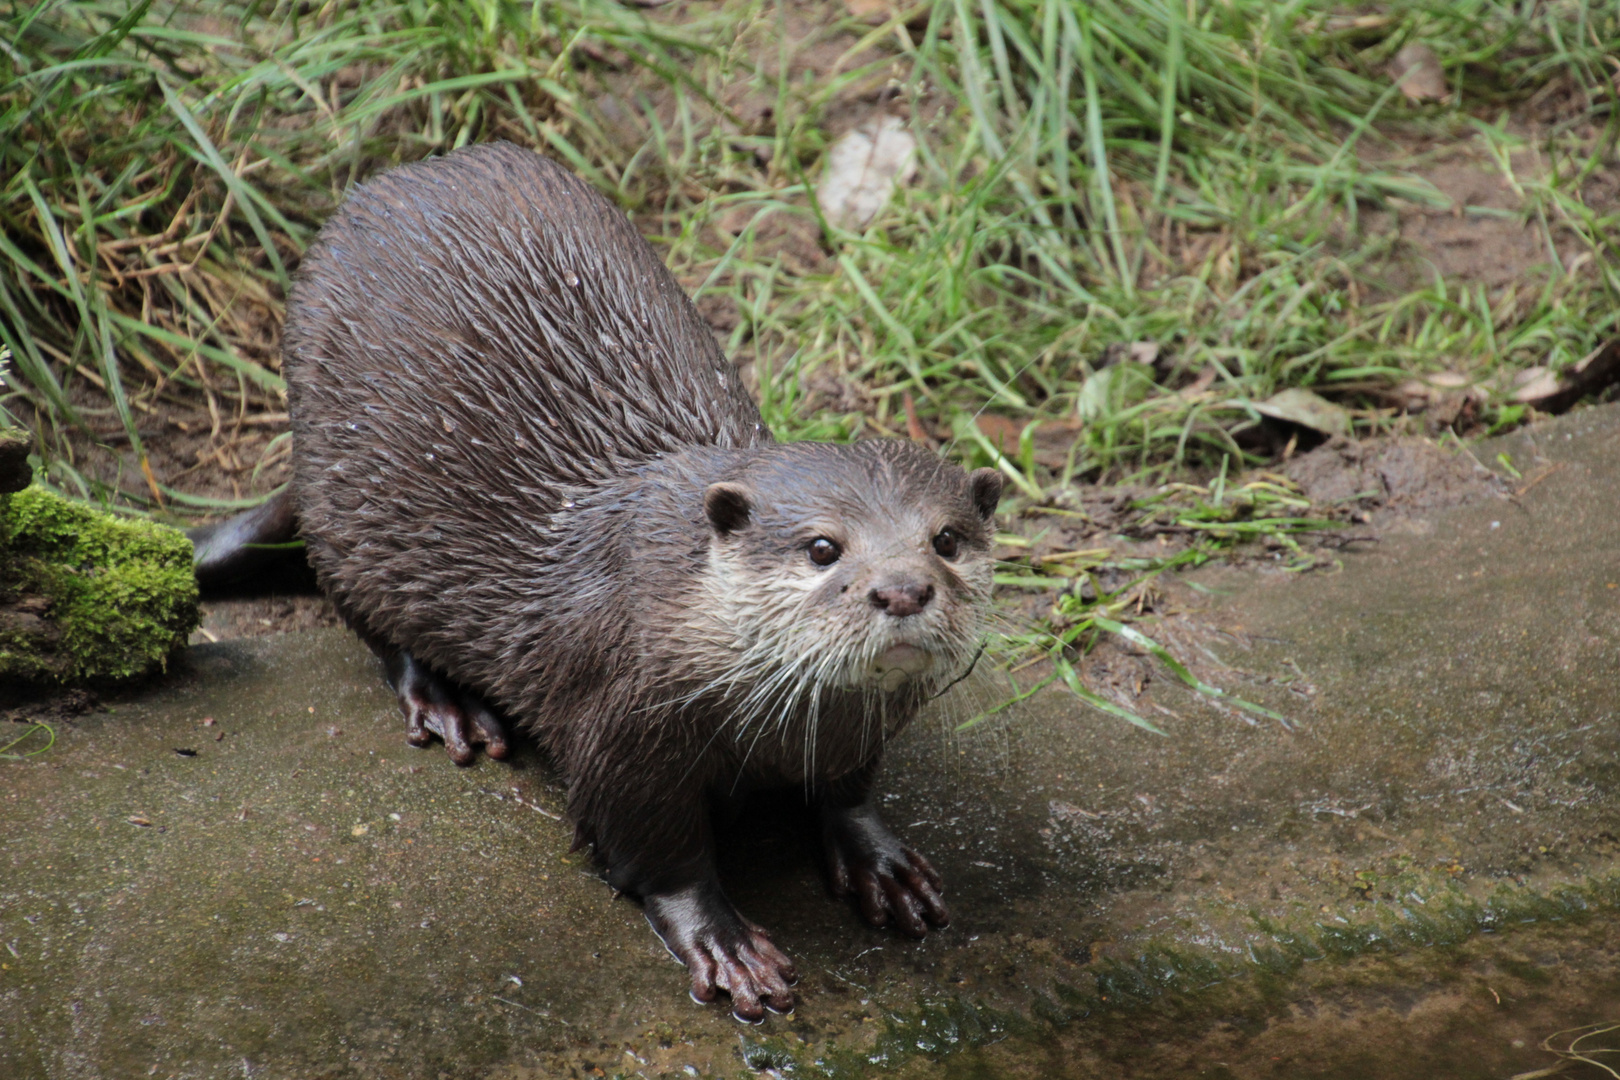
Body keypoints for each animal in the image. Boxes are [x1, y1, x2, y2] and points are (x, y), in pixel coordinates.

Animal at [210, 143, 1004, 1023]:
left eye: (945, 539)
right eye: (824, 548)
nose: (901, 588)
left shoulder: (860, 731)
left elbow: (848, 791)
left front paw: (880, 863)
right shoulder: (620, 722)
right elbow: (654, 848)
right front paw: (724, 944)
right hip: (345, 498)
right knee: (367, 611)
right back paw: (451, 706)